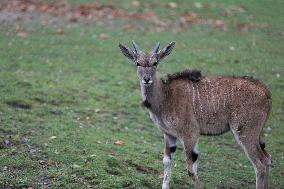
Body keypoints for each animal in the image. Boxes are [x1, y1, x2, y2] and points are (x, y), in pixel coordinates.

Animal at [118, 40, 272, 188]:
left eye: (155, 62)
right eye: (138, 63)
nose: (146, 79)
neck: (165, 96)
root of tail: (266, 92)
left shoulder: (190, 134)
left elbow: (191, 169)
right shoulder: (169, 135)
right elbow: (168, 162)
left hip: (246, 132)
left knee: (260, 164)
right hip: (257, 134)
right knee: (268, 159)